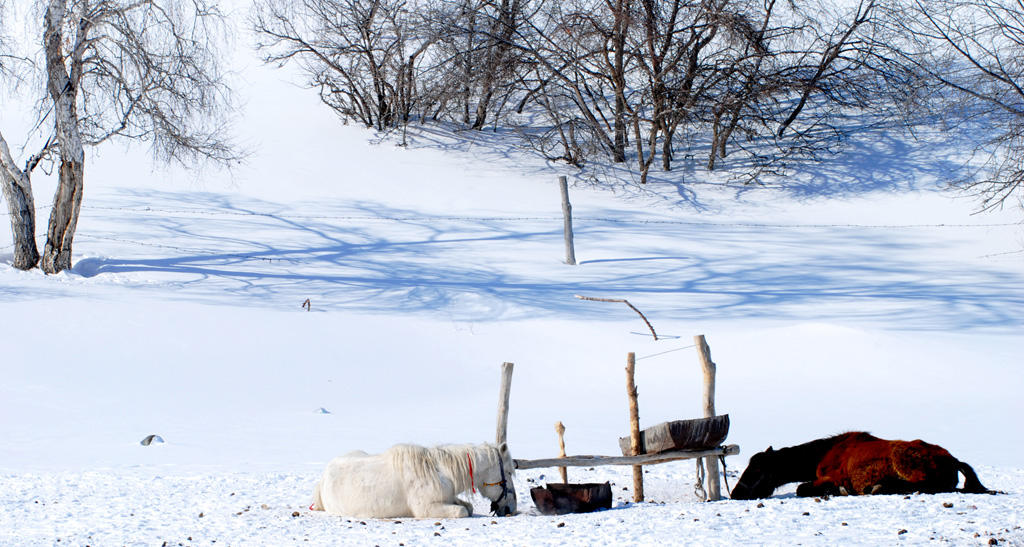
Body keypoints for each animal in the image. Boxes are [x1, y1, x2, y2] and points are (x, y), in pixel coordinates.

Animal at [309, 442, 520, 518]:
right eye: (509, 472)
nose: (511, 508)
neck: (439, 471)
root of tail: (324, 477)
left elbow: (467, 507)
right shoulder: (427, 508)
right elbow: (462, 511)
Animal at [733, 432, 987, 501]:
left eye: (757, 470)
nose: (736, 493)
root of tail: (952, 459)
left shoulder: (831, 478)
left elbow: (801, 488)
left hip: (905, 461)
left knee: (923, 485)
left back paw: (879, 487)